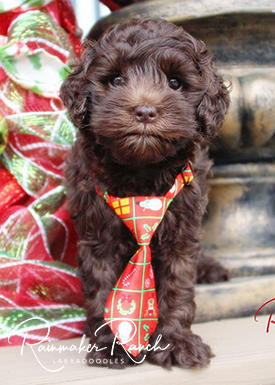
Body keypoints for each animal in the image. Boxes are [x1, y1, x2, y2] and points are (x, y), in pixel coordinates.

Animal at [60, 18, 231, 368]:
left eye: (175, 82)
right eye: (115, 79)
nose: (145, 111)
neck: (141, 174)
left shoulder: (182, 232)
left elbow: (177, 288)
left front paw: (176, 342)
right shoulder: (98, 234)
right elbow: (102, 289)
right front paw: (111, 345)